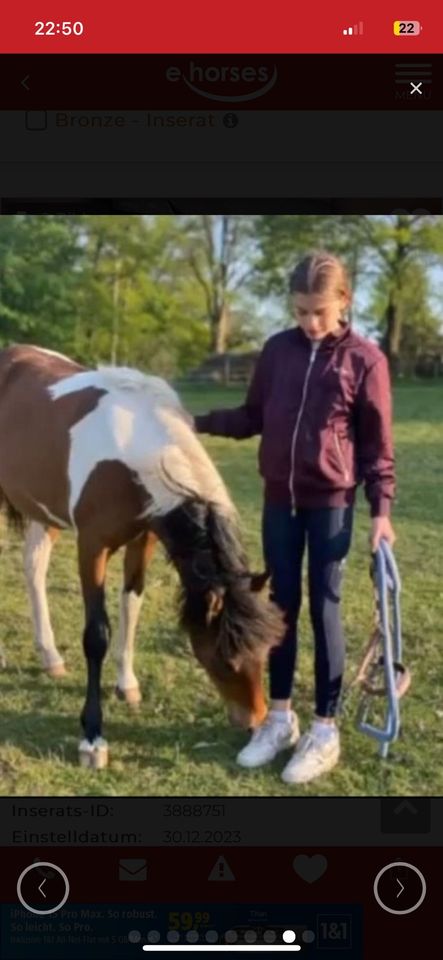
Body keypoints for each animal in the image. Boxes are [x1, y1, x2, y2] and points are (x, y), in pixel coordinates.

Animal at [0, 348, 284, 768]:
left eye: (264, 654)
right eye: (225, 659)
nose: (254, 721)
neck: (131, 451)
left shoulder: (143, 541)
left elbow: (131, 607)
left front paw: (127, 685)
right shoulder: (92, 547)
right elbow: (96, 635)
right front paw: (92, 737)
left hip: (42, 510)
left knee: (34, 568)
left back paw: (50, 656)